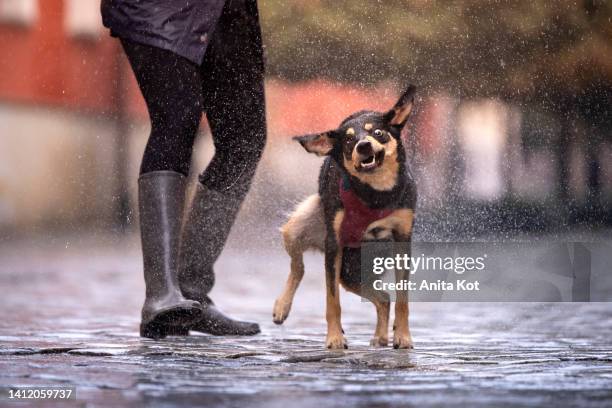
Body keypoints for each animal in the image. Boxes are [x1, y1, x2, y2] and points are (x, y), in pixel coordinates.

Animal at [274, 84, 418, 350]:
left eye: (379, 132)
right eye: (349, 139)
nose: (363, 145)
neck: (376, 194)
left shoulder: (403, 239)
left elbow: (402, 299)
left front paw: (403, 337)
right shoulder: (334, 245)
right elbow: (332, 301)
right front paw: (334, 338)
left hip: (354, 271)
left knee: (383, 297)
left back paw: (381, 337)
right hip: (301, 230)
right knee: (298, 267)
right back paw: (282, 307)